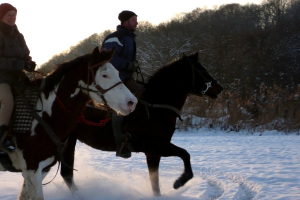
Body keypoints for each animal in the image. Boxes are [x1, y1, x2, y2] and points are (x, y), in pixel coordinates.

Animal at [0, 46, 137, 199]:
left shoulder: (43, 168)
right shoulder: (32, 169)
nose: (132, 102)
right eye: (104, 75)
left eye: (117, 73)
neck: (44, 116)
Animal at [60, 50, 223, 196]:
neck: (156, 105)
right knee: (67, 173)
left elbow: (155, 183)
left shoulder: (153, 153)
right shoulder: (157, 146)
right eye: (202, 69)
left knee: (66, 173)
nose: (219, 88)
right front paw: (180, 181)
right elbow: (185, 154)